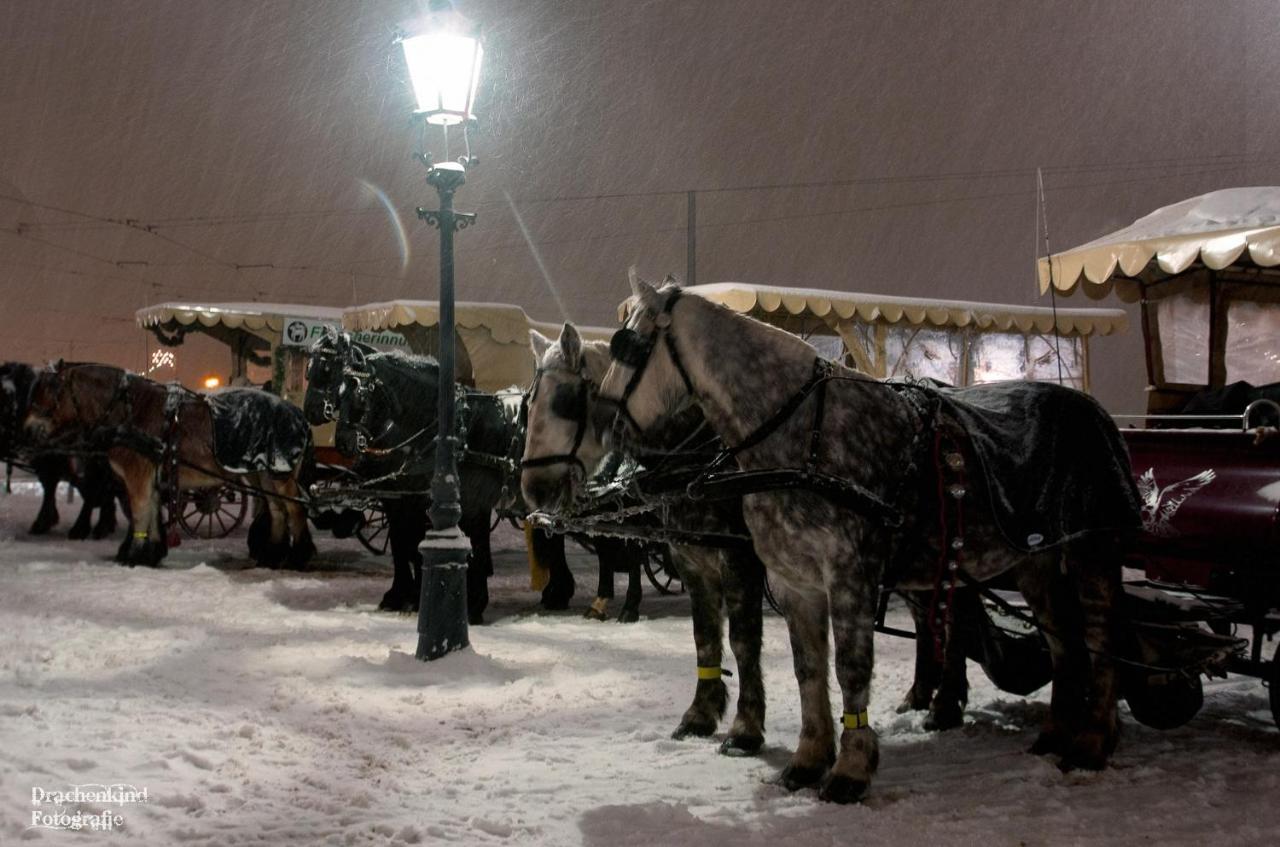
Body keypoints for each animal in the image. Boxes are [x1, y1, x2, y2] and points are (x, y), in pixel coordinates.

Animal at [27, 360, 312, 568]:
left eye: (49, 392)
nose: (30, 431)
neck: (130, 411)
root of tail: (299, 415)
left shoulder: (137, 475)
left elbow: (140, 512)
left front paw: (134, 555)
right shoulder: (150, 476)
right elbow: (151, 511)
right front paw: (150, 552)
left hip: (279, 474)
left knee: (294, 509)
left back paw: (297, 556)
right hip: (261, 473)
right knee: (277, 510)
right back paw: (271, 556)